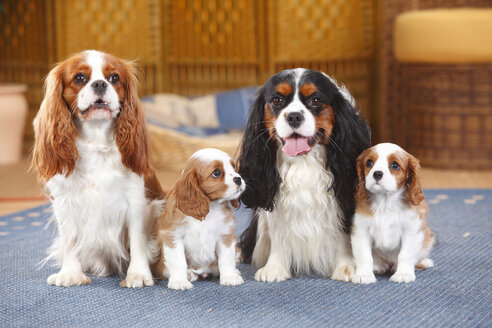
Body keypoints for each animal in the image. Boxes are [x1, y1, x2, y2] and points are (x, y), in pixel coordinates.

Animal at [32, 49, 165, 288]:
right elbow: (70, 239)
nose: (100, 84)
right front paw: (70, 273)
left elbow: (137, 240)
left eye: (114, 78)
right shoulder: (65, 202)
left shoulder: (136, 201)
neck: (96, 138)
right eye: (79, 78)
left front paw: (138, 275)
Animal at [152, 149, 246, 290]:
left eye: (234, 167)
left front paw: (230, 277)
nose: (238, 179)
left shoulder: (225, 234)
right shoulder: (173, 235)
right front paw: (179, 281)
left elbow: (226, 258)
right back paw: (189, 274)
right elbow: (178, 261)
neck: (210, 208)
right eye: (216, 173)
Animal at [237, 68, 368, 282]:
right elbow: (277, 234)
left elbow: (342, 234)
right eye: (277, 101)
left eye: (315, 100)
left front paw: (347, 267)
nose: (294, 116)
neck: (303, 161)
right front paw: (275, 268)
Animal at [350, 142, 434, 284]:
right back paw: (378, 266)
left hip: (426, 237)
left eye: (394, 165)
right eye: (369, 163)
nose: (377, 174)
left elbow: (405, 255)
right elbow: (364, 255)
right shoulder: (361, 231)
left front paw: (403, 274)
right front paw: (364, 275)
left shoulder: (411, 231)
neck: (385, 202)